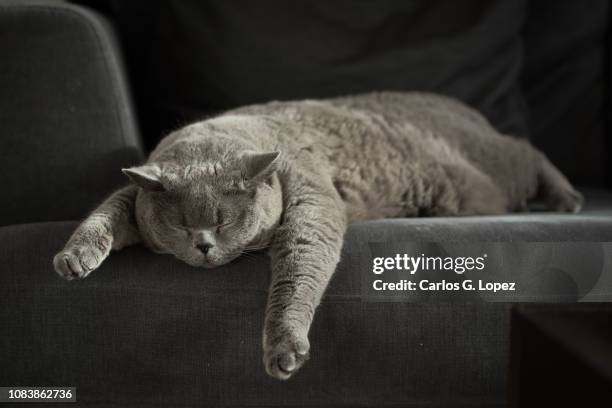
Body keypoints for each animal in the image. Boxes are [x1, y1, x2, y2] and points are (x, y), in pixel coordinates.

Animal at [53, 91, 584, 380]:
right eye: (181, 225)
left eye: (223, 222)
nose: (203, 245)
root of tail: (460, 108)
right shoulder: (133, 196)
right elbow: (104, 212)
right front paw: (73, 258)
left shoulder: (311, 197)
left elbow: (299, 266)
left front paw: (285, 347)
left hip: (489, 176)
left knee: (528, 149)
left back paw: (568, 197)